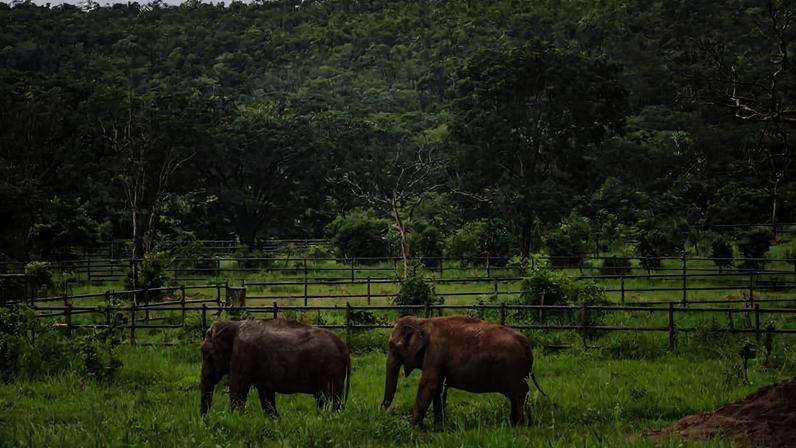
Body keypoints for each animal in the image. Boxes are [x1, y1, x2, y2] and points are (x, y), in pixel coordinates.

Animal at [200, 318, 351, 416]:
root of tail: (344, 348)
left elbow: (237, 387)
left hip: (331, 369)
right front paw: (274, 420)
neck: (233, 324)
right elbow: (265, 393)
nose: (205, 420)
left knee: (331, 399)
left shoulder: (243, 354)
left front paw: (236, 419)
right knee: (324, 399)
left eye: (206, 353)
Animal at [381, 315, 544, 427]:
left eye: (392, 346)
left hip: (515, 370)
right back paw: (515, 425)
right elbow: (437, 388)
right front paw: (437, 428)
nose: (385, 412)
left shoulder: (435, 351)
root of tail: (526, 344)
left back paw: (521, 428)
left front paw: (413, 429)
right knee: (517, 397)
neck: (423, 322)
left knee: (520, 396)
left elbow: (429, 384)